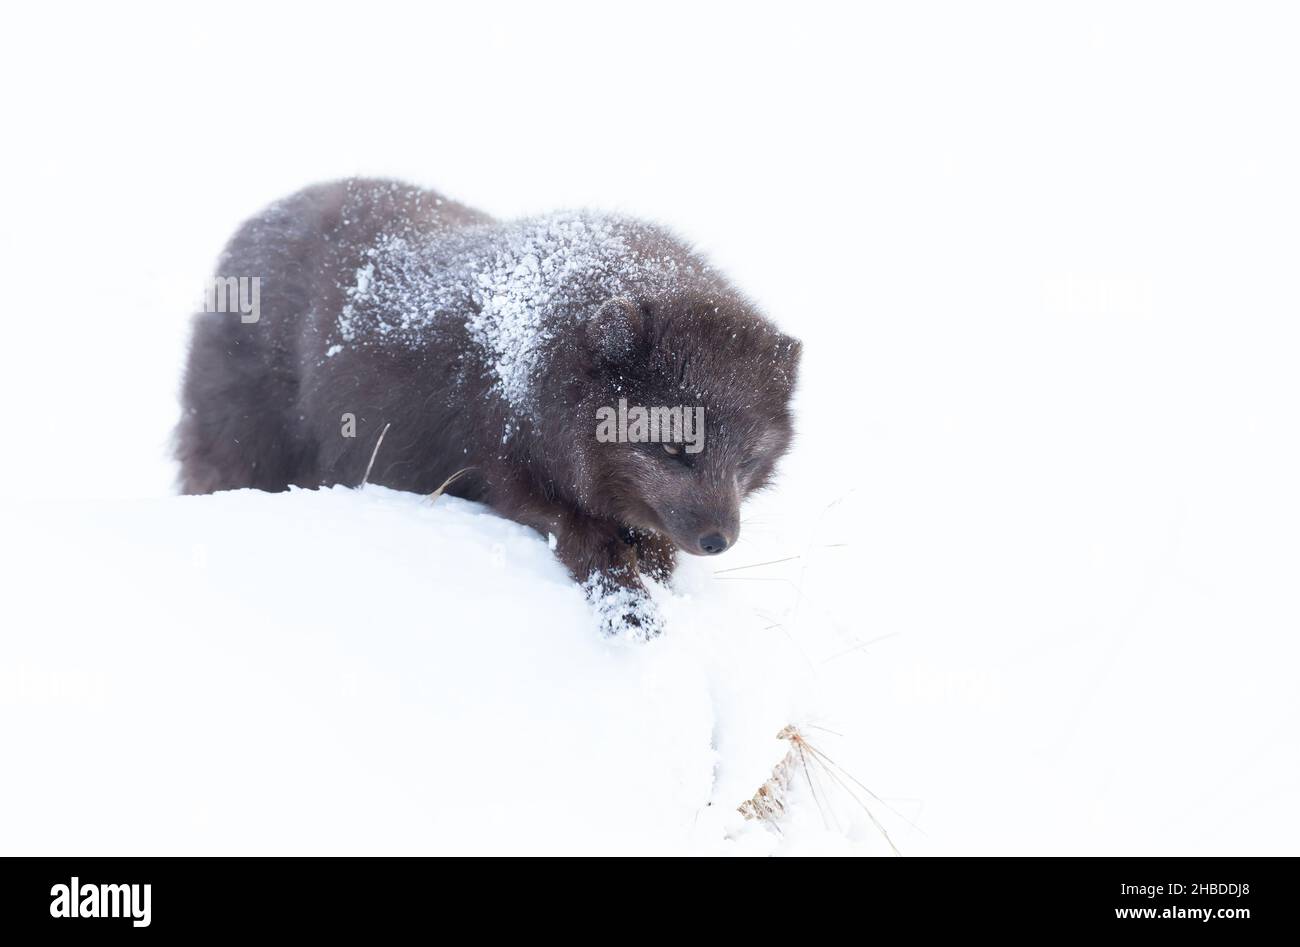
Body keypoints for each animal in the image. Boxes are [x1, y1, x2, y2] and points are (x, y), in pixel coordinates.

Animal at [176, 176, 795, 637]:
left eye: (747, 461)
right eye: (671, 445)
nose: (718, 540)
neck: (538, 368)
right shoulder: (505, 471)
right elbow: (587, 540)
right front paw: (629, 610)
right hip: (242, 450)